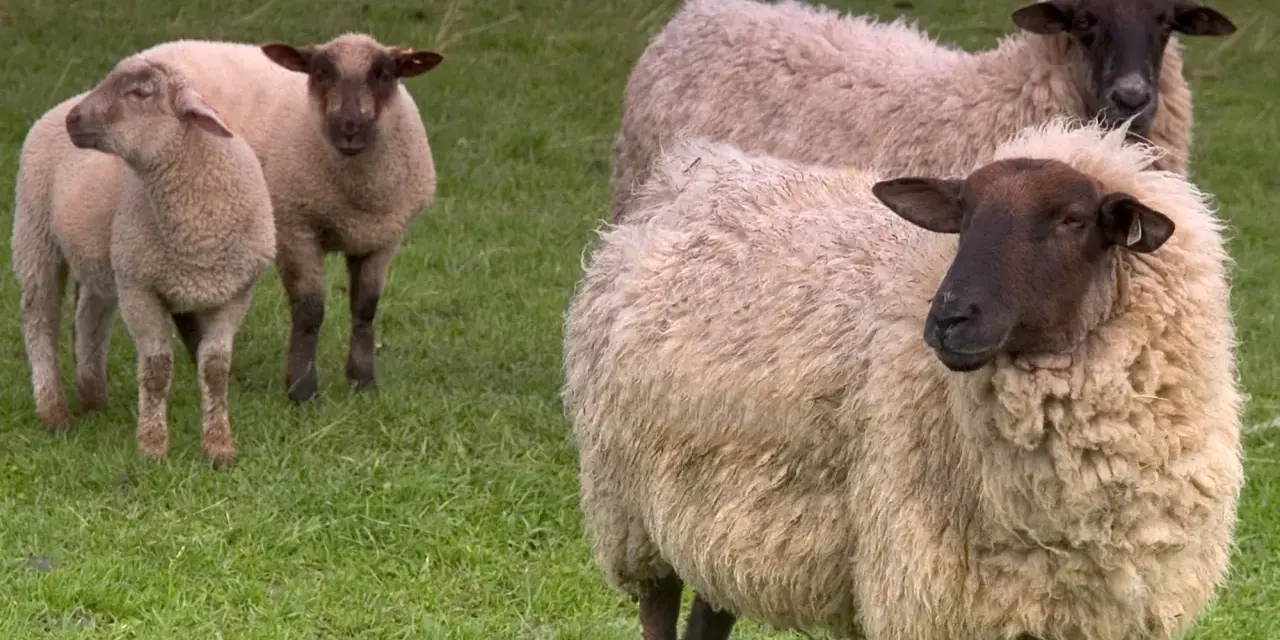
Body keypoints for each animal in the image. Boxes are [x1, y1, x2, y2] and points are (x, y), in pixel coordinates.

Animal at [12, 54, 277, 468]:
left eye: (140, 93)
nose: (74, 120)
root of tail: (57, 106)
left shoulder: (235, 294)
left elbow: (216, 369)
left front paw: (220, 447)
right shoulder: (141, 289)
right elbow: (156, 370)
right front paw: (152, 447)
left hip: (103, 257)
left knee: (90, 319)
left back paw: (93, 397)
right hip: (34, 233)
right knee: (40, 321)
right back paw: (54, 412)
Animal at [125, 33, 443, 403]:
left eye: (384, 74)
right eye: (320, 73)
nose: (349, 128)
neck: (357, 193)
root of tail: (149, 53)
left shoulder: (384, 237)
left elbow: (365, 308)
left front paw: (362, 381)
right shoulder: (295, 229)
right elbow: (309, 311)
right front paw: (302, 390)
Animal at [564, 119, 1243, 639]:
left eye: (1074, 220)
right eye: (963, 216)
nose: (949, 317)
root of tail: (690, 172)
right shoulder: (921, 591)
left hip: (721, 518)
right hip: (630, 509)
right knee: (658, 607)